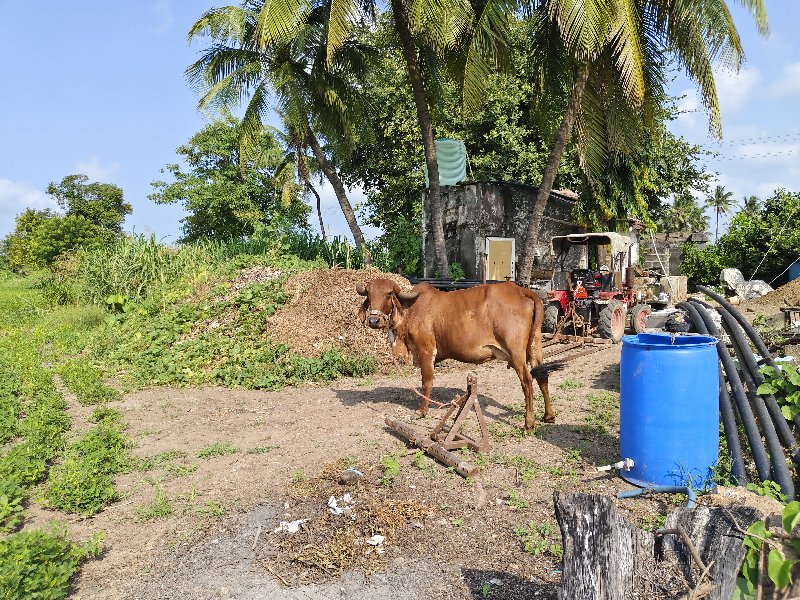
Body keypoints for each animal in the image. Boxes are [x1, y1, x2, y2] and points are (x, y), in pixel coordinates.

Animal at [360, 278, 552, 428]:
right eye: (368, 293)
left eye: (389, 293)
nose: (373, 320)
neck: (410, 310)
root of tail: (521, 290)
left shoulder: (426, 351)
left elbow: (426, 382)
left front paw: (422, 411)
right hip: (535, 346)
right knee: (542, 376)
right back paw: (548, 415)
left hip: (516, 351)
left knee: (527, 381)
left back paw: (529, 422)